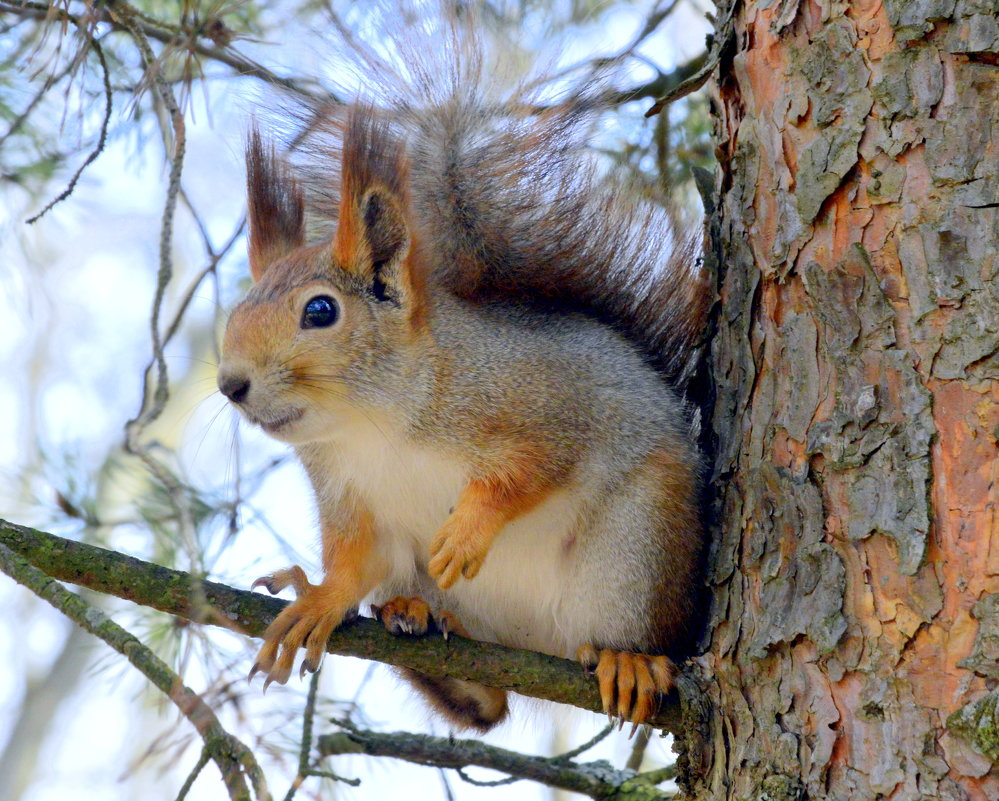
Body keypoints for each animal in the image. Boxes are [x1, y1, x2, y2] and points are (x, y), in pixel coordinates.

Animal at [218, 14, 708, 736]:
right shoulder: (344, 489)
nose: (231, 384)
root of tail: (533, 646)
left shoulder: (545, 398)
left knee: (617, 633)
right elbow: (356, 558)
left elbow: (532, 467)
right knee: (484, 705)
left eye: (320, 311)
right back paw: (419, 620)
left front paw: (469, 527)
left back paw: (630, 660)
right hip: (435, 593)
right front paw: (320, 597)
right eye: (233, 313)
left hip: (637, 549)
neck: (371, 421)